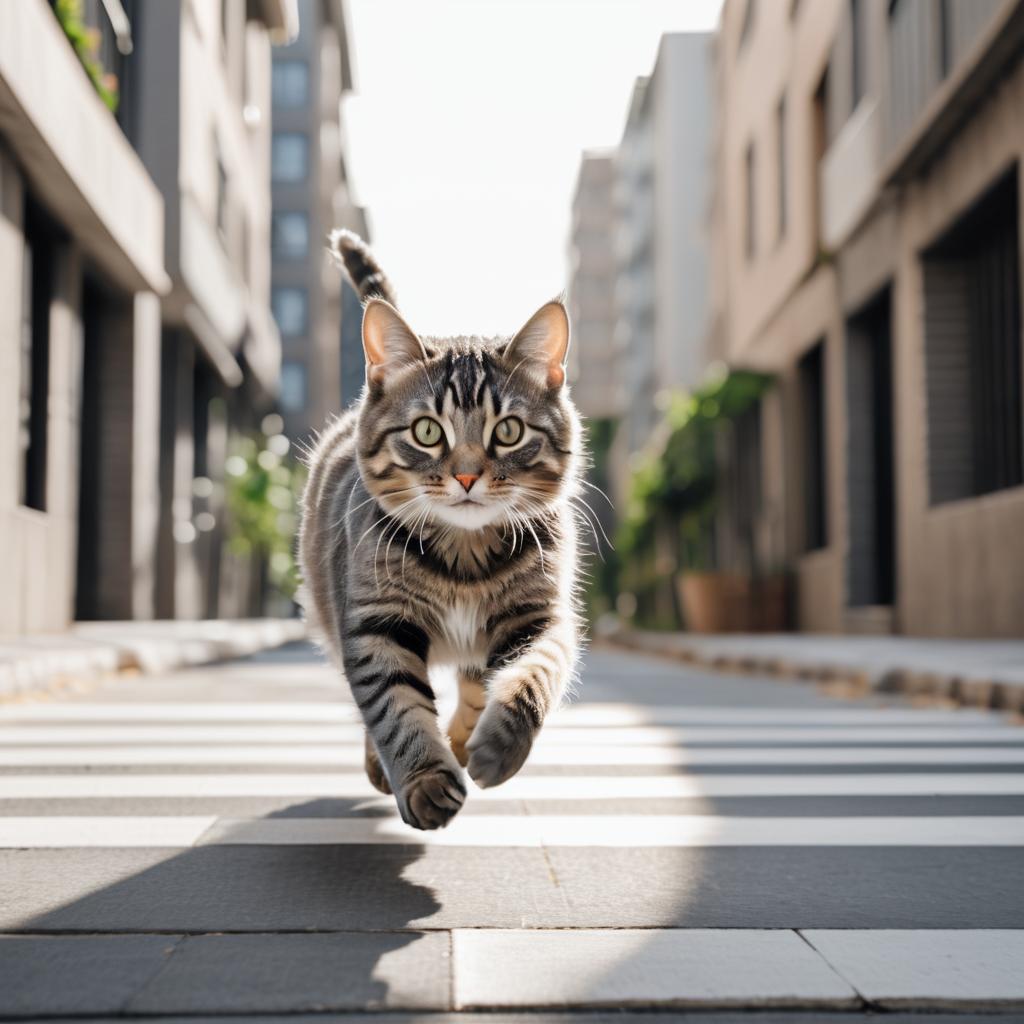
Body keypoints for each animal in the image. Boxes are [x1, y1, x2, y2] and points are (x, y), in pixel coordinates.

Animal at [299, 232, 585, 831]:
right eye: (429, 432)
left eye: (509, 431)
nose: (468, 475)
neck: (464, 556)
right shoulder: (376, 624)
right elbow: (393, 708)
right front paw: (425, 780)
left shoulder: (540, 617)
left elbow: (532, 678)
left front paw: (496, 746)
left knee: (476, 685)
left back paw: (464, 741)